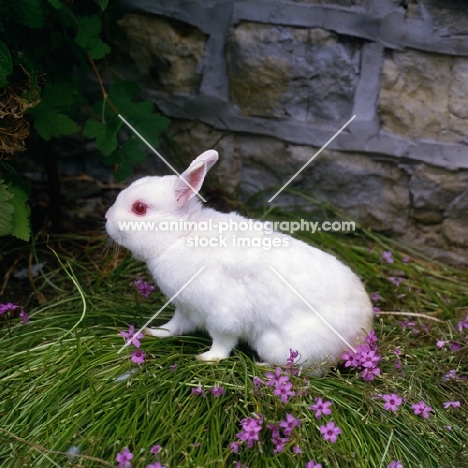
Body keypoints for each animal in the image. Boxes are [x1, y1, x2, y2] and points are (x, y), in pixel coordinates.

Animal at [106, 150, 372, 370]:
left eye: (139, 208)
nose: (107, 219)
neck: (181, 236)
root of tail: (360, 334)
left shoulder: (222, 317)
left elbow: (222, 343)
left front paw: (207, 358)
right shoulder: (185, 308)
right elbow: (175, 326)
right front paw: (155, 332)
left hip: (279, 346)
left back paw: (264, 367)